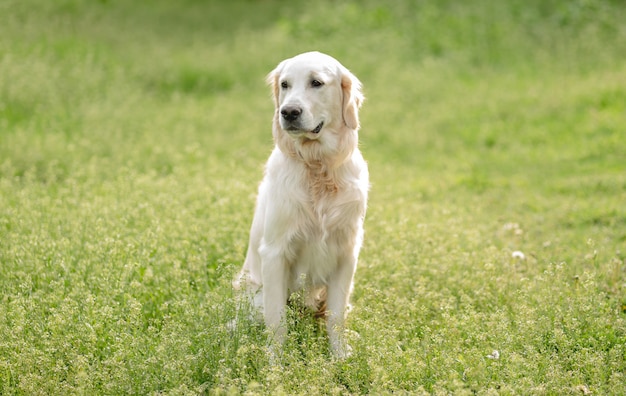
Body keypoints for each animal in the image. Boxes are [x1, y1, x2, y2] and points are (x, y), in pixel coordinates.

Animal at [233, 51, 368, 358]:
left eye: (316, 82)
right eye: (285, 84)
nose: (289, 112)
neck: (318, 167)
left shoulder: (346, 253)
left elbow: (336, 316)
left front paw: (340, 357)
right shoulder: (275, 253)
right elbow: (277, 321)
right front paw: (276, 363)